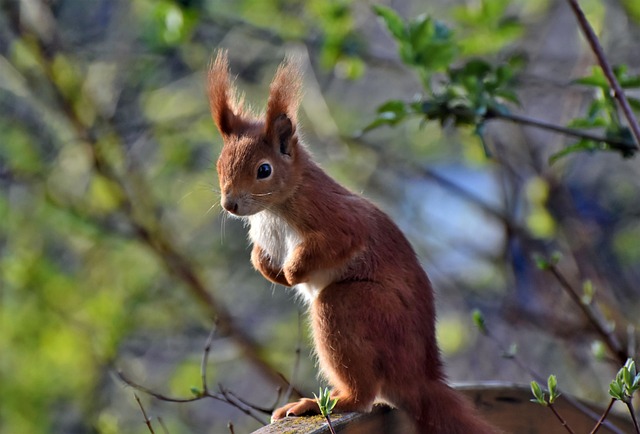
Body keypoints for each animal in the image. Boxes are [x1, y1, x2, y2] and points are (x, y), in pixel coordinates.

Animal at [207, 51, 500, 434]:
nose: (230, 205)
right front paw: (269, 269)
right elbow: (260, 255)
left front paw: (292, 272)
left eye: (264, 170)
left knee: (362, 390)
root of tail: (418, 379)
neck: (273, 208)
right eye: (219, 165)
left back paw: (322, 402)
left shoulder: (337, 219)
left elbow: (339, 241)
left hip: (352, 308)